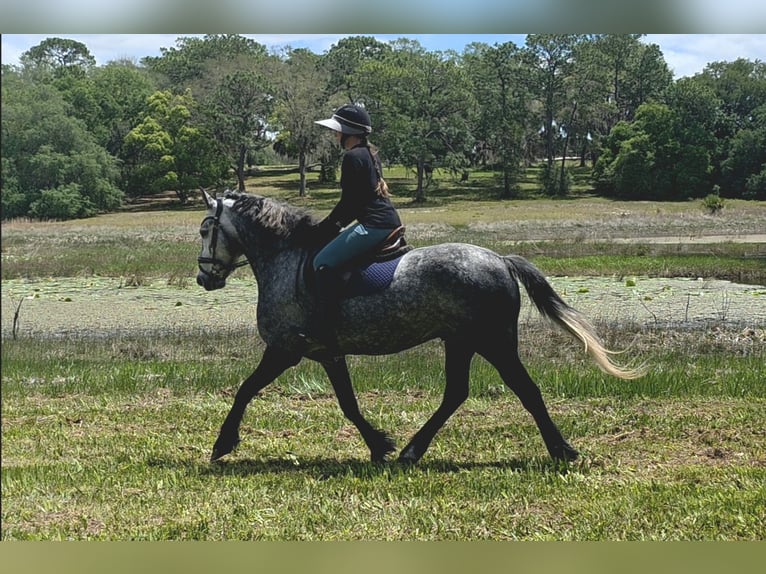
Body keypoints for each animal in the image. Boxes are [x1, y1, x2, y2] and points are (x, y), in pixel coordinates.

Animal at [196, 189, 643, 465]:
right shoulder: (327, 354)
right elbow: (348, 403)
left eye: (205, 229)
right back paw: (413, 450)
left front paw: (222, 444)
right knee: (456, 393)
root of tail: (500, 259)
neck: (286, 260)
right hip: (461, 341)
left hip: (493, 342)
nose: (204, 278)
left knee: (526, 390)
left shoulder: (286, 350)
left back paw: (561, 449)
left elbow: (245, 390)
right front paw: (379, 445)